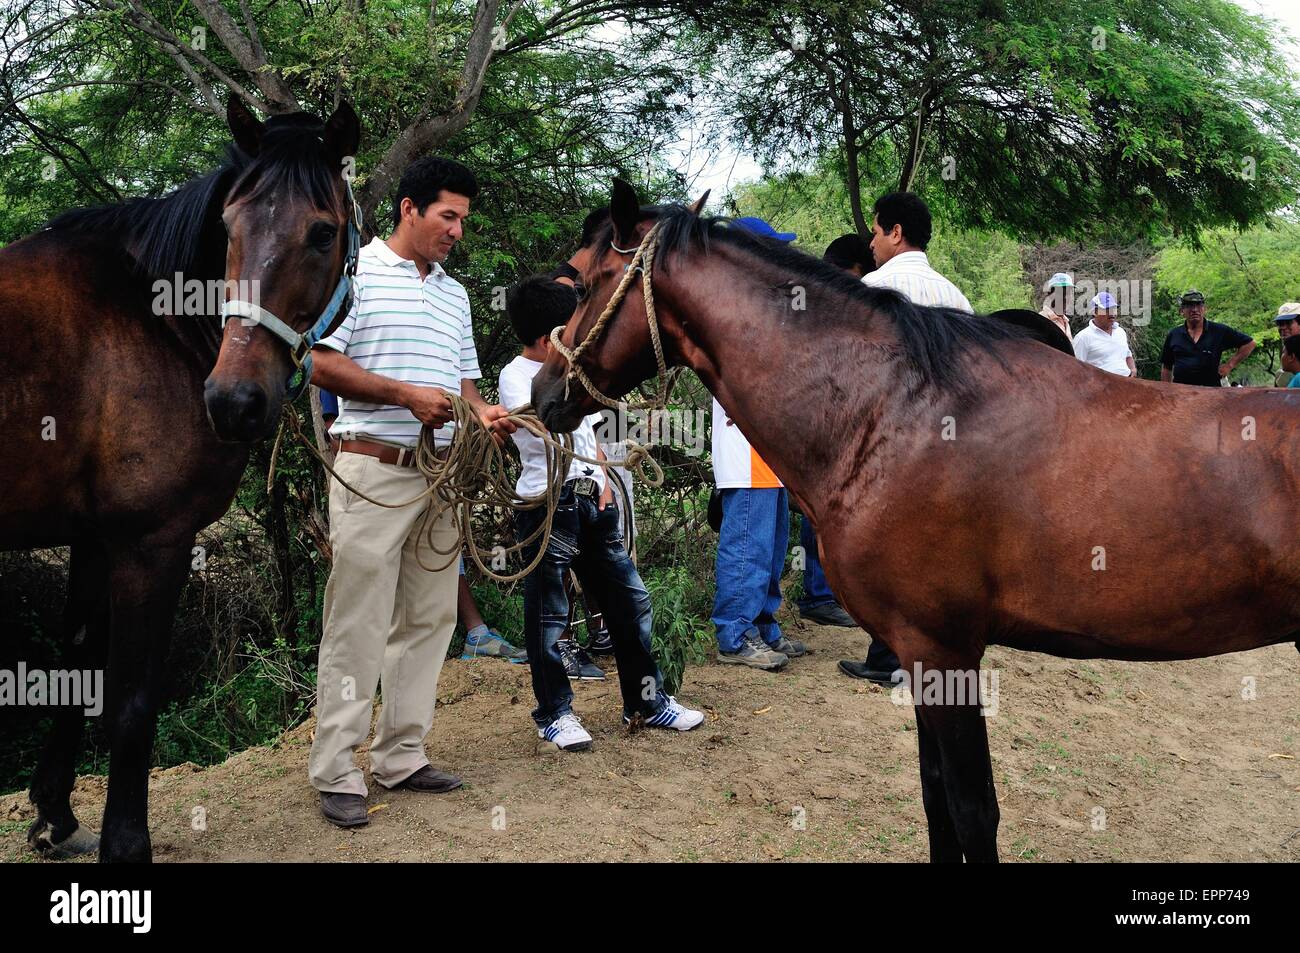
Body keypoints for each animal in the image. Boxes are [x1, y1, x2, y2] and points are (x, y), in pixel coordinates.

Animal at [0, 98, 361, 863]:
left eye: (322, 232)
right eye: (229, 227)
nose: (232, 401)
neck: (148, 318)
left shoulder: (94, 540)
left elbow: (78, 667)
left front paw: (55, 813)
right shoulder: (152, 543)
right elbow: (133, 701)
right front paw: (125, 843)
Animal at [535, 178, 1300, 863]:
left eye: (582, 282)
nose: (544, 390)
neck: (891, 413)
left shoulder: (945, 650)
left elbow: (971, 809)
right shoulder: (917, 650)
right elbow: (937, 805)